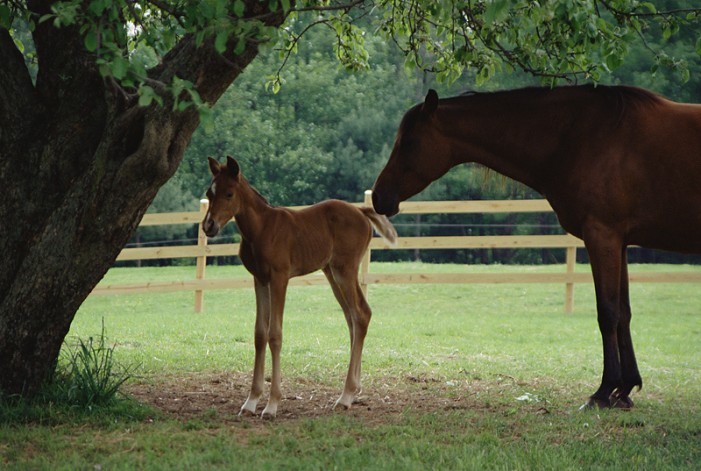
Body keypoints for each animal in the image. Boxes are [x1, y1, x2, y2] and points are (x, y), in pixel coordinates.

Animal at [202, 157, 396, 418]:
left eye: (229, 193)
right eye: (209, 193)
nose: (208, 226)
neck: (261, 229)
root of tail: (360, 210)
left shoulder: (279, 277)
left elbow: (275, 334)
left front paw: (272, 405)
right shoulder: (259, 279)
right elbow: (259, 334)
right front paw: (251, 402)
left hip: (344, 270)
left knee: (361, 314)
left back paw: (345, 396)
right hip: (332, 272)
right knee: (353, 318)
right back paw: (353, 392)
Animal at [372, 85, 700, 410]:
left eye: (408, 142)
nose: (378, 196)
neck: (583, 135)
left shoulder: (602, 237)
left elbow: (607, 313)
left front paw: (604, 391)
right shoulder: (619, 243)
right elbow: (624, 313)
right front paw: (626, 388)